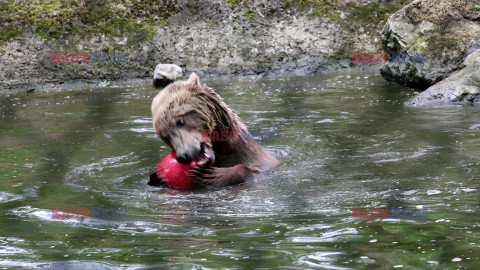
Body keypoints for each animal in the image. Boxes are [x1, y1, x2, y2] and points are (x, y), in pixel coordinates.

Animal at [148, 73, 280, 188]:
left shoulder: (260, 163)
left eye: (180, 121)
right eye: (165, 136)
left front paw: (212, 175)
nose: (182, 156)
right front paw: (157, 177)